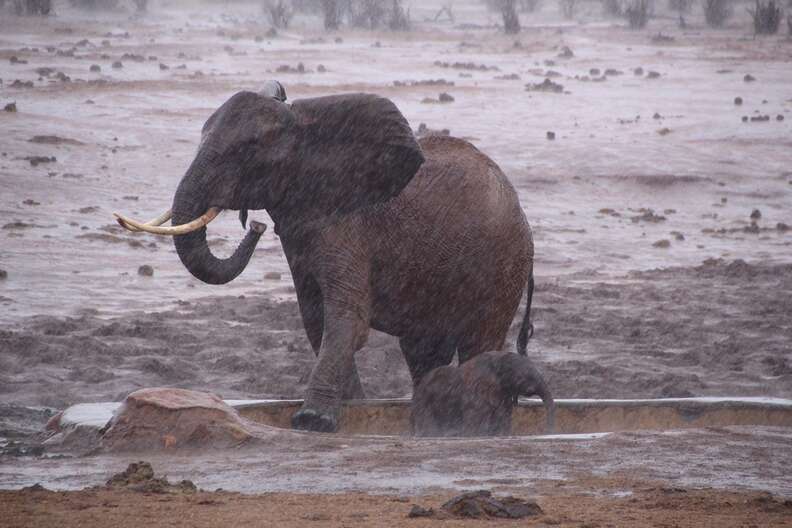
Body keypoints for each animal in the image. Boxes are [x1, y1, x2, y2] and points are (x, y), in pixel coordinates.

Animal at [116, 80, 540, 432]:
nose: (255, 228)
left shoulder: (349, 222)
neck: (304, 124)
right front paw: (346, 411)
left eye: (249, 150)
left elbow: (347, 317)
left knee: (479, 343)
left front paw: (312, 421)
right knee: (423, 351)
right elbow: (316, 317)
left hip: (503, 264)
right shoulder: (301, 227)